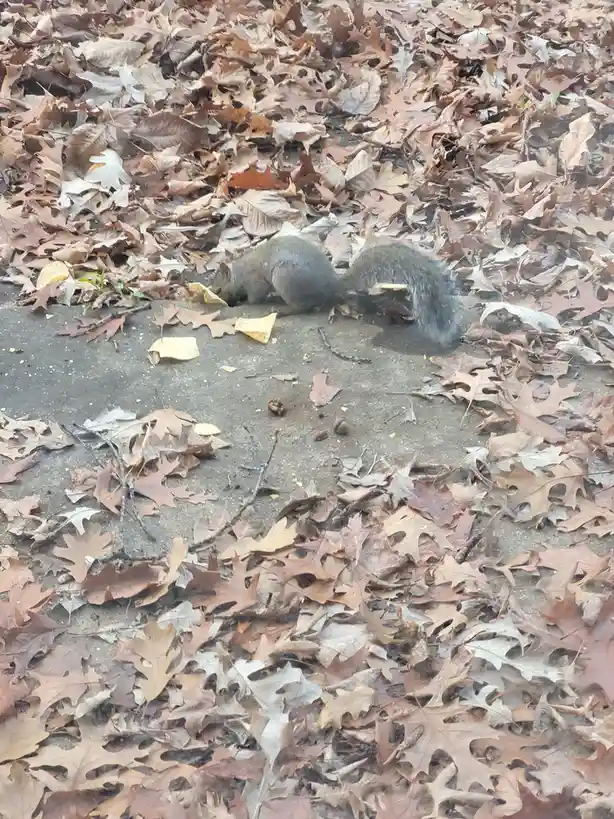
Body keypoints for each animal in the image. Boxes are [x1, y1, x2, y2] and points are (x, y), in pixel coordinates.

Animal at [212, 234, 468, 350]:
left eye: (218, 288)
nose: (220, 299)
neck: (239, 271)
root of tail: (330, 285)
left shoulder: (255, 281)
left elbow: (255, 296)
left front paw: (244, 303)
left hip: (285, 278)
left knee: (303, 306)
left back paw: (283, 309)